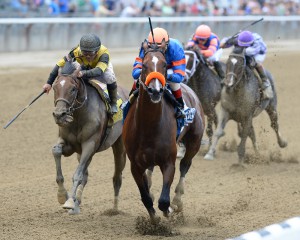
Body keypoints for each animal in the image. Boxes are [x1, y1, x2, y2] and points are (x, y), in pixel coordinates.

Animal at [51, 61, 127, 215]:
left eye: (73, 89)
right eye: (55, 87)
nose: (59, 115)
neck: (79, 116)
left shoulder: (89, 144)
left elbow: (78, 175)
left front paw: (69, 201)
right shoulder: (69, 145)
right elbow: (56, 151)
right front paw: (62, 195)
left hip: (119, 147)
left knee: (117, 177)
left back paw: (115, 209)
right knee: (86, 174)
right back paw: (77, 203)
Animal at [121, 40, 204, 223]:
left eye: (165, 64)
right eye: (144, 65)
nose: (155, 90)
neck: (149, 125)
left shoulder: (168, 162)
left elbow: (164, 200)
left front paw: (169, 210)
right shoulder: (135, 165)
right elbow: (146, 197)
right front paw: (154, 220)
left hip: (194, 141)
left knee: (185, 165)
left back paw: (178, 200)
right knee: (150, 173)